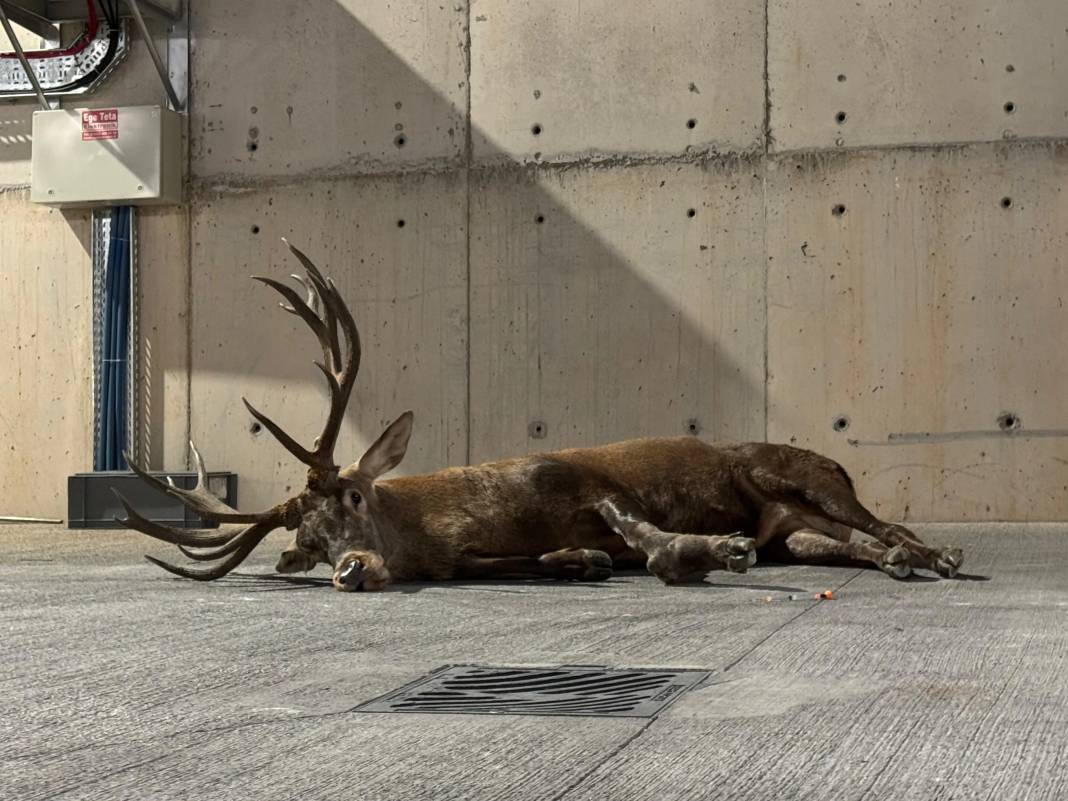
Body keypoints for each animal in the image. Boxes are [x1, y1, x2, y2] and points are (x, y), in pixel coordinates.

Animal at [112, 241, 965, 593]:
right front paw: (578, 560)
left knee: (882, 520)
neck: (456, 519)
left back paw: (939, 553)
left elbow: (622, 529)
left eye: (353, 495)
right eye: (309, 543)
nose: (350, 569)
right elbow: (527, 559)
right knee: (850, 542)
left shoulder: (578, 480)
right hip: (795, 527)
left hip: (799, 475)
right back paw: (899, 561)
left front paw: (685, 549)